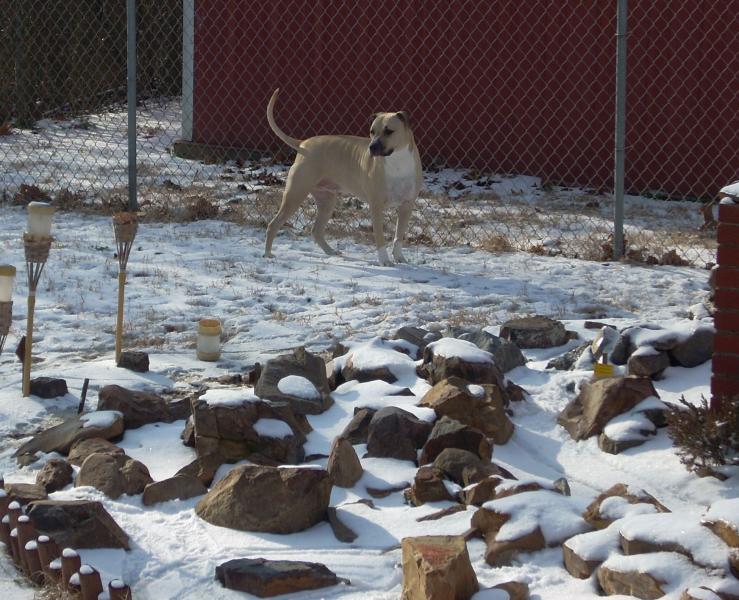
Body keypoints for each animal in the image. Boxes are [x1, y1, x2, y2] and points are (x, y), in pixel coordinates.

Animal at [264, 88, 422, 266]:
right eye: (372, 131)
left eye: (389, 131)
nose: (372, 147)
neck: (398, 162)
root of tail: (303, 143)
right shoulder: (376, 207)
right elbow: (380, 238)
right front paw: (384, 261)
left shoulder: (406, 206)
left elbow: (398, 237)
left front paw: (399, 257)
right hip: (295, 195)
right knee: (273, 225)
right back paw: (268, 253)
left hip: (327, 200)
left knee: (316, 231)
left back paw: (331, 252)